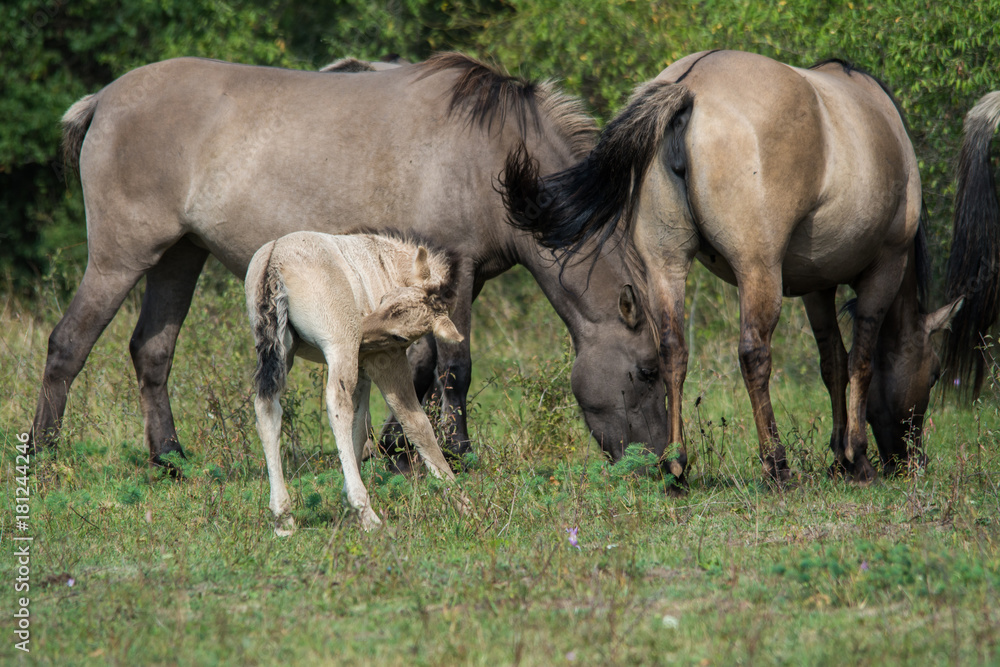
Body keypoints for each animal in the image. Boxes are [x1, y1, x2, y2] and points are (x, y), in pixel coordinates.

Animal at [246, 232, 464, 536]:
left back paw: (283, 518)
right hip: (340, 345)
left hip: (279, 349)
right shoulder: (385, 359)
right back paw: (366, 511)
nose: (362, 334)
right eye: (383, 299)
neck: (389, 266)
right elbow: (416, 424)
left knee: (267, 408)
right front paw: (463, 502)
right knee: (336, 404)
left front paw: (348, 511)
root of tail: (275, 261)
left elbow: (359, 426)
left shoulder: (363, 368)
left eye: (400, 334)